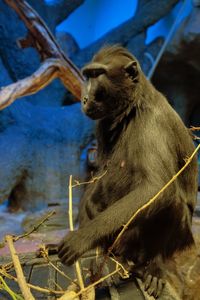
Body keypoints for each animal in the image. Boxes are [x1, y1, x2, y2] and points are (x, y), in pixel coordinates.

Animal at [58, 45, 198, 298]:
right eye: (88, 76)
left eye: (97, 75)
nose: (85, 99)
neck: (132, 108)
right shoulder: (103, 123)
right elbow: (97, 177)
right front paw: (93, 256)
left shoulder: (152, 123)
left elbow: (155, 187)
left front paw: (82, 239)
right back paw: (108, 257)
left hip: (154, 240)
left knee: (171, 201)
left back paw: (154, 267)